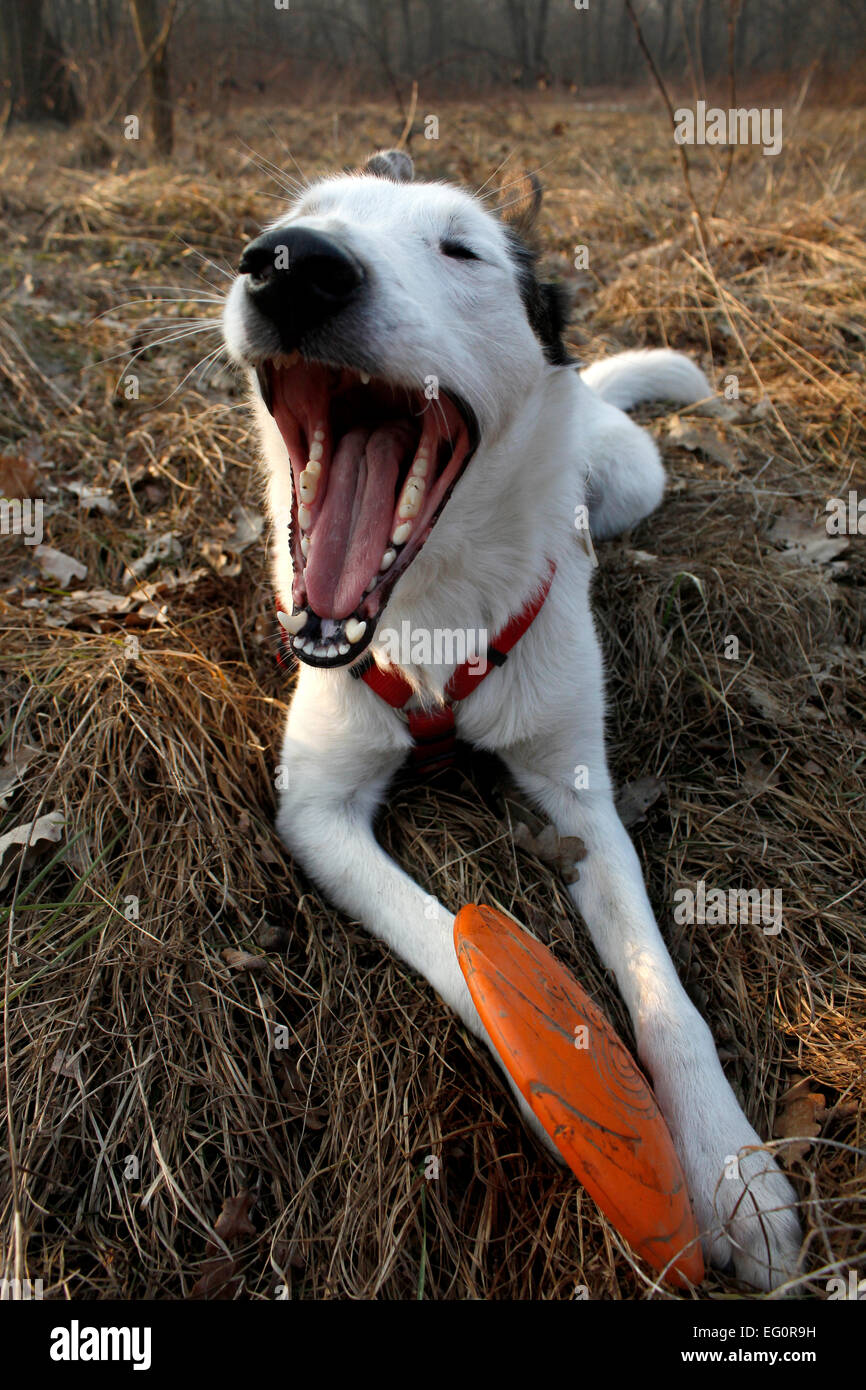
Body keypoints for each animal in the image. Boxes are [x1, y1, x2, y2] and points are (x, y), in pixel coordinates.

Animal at [219, 146, 800, 1284]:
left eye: (459, 249)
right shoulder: (315, 815)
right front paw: (553, 1094)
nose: (292, 265)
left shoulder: (580, 802)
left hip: (630, 481)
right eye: (304, 217)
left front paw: (730, 1168)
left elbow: (664, 996)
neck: (434, 615)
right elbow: (448, 939)